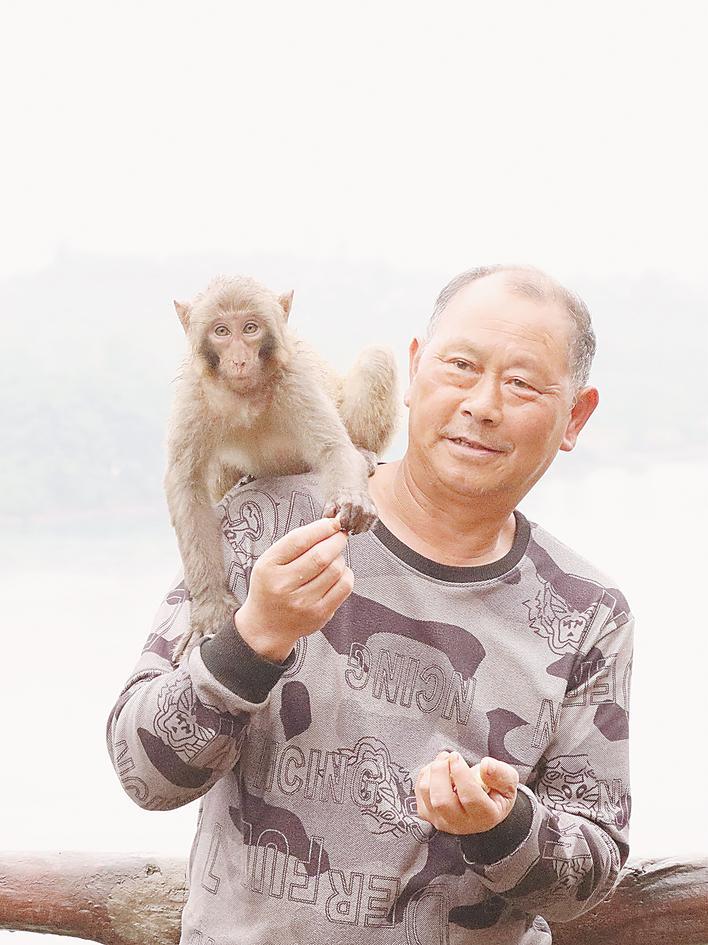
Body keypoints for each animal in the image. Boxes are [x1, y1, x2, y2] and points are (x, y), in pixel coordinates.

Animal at [165, 275, 398, 663]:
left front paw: (351, 501)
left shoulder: (296, 381)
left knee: (376, 357)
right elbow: (187, 483)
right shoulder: (194, 398)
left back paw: (364, 453)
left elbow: (334, 449)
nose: (239, 359)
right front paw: (210, 607)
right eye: (221, 331)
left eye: (250, 328)